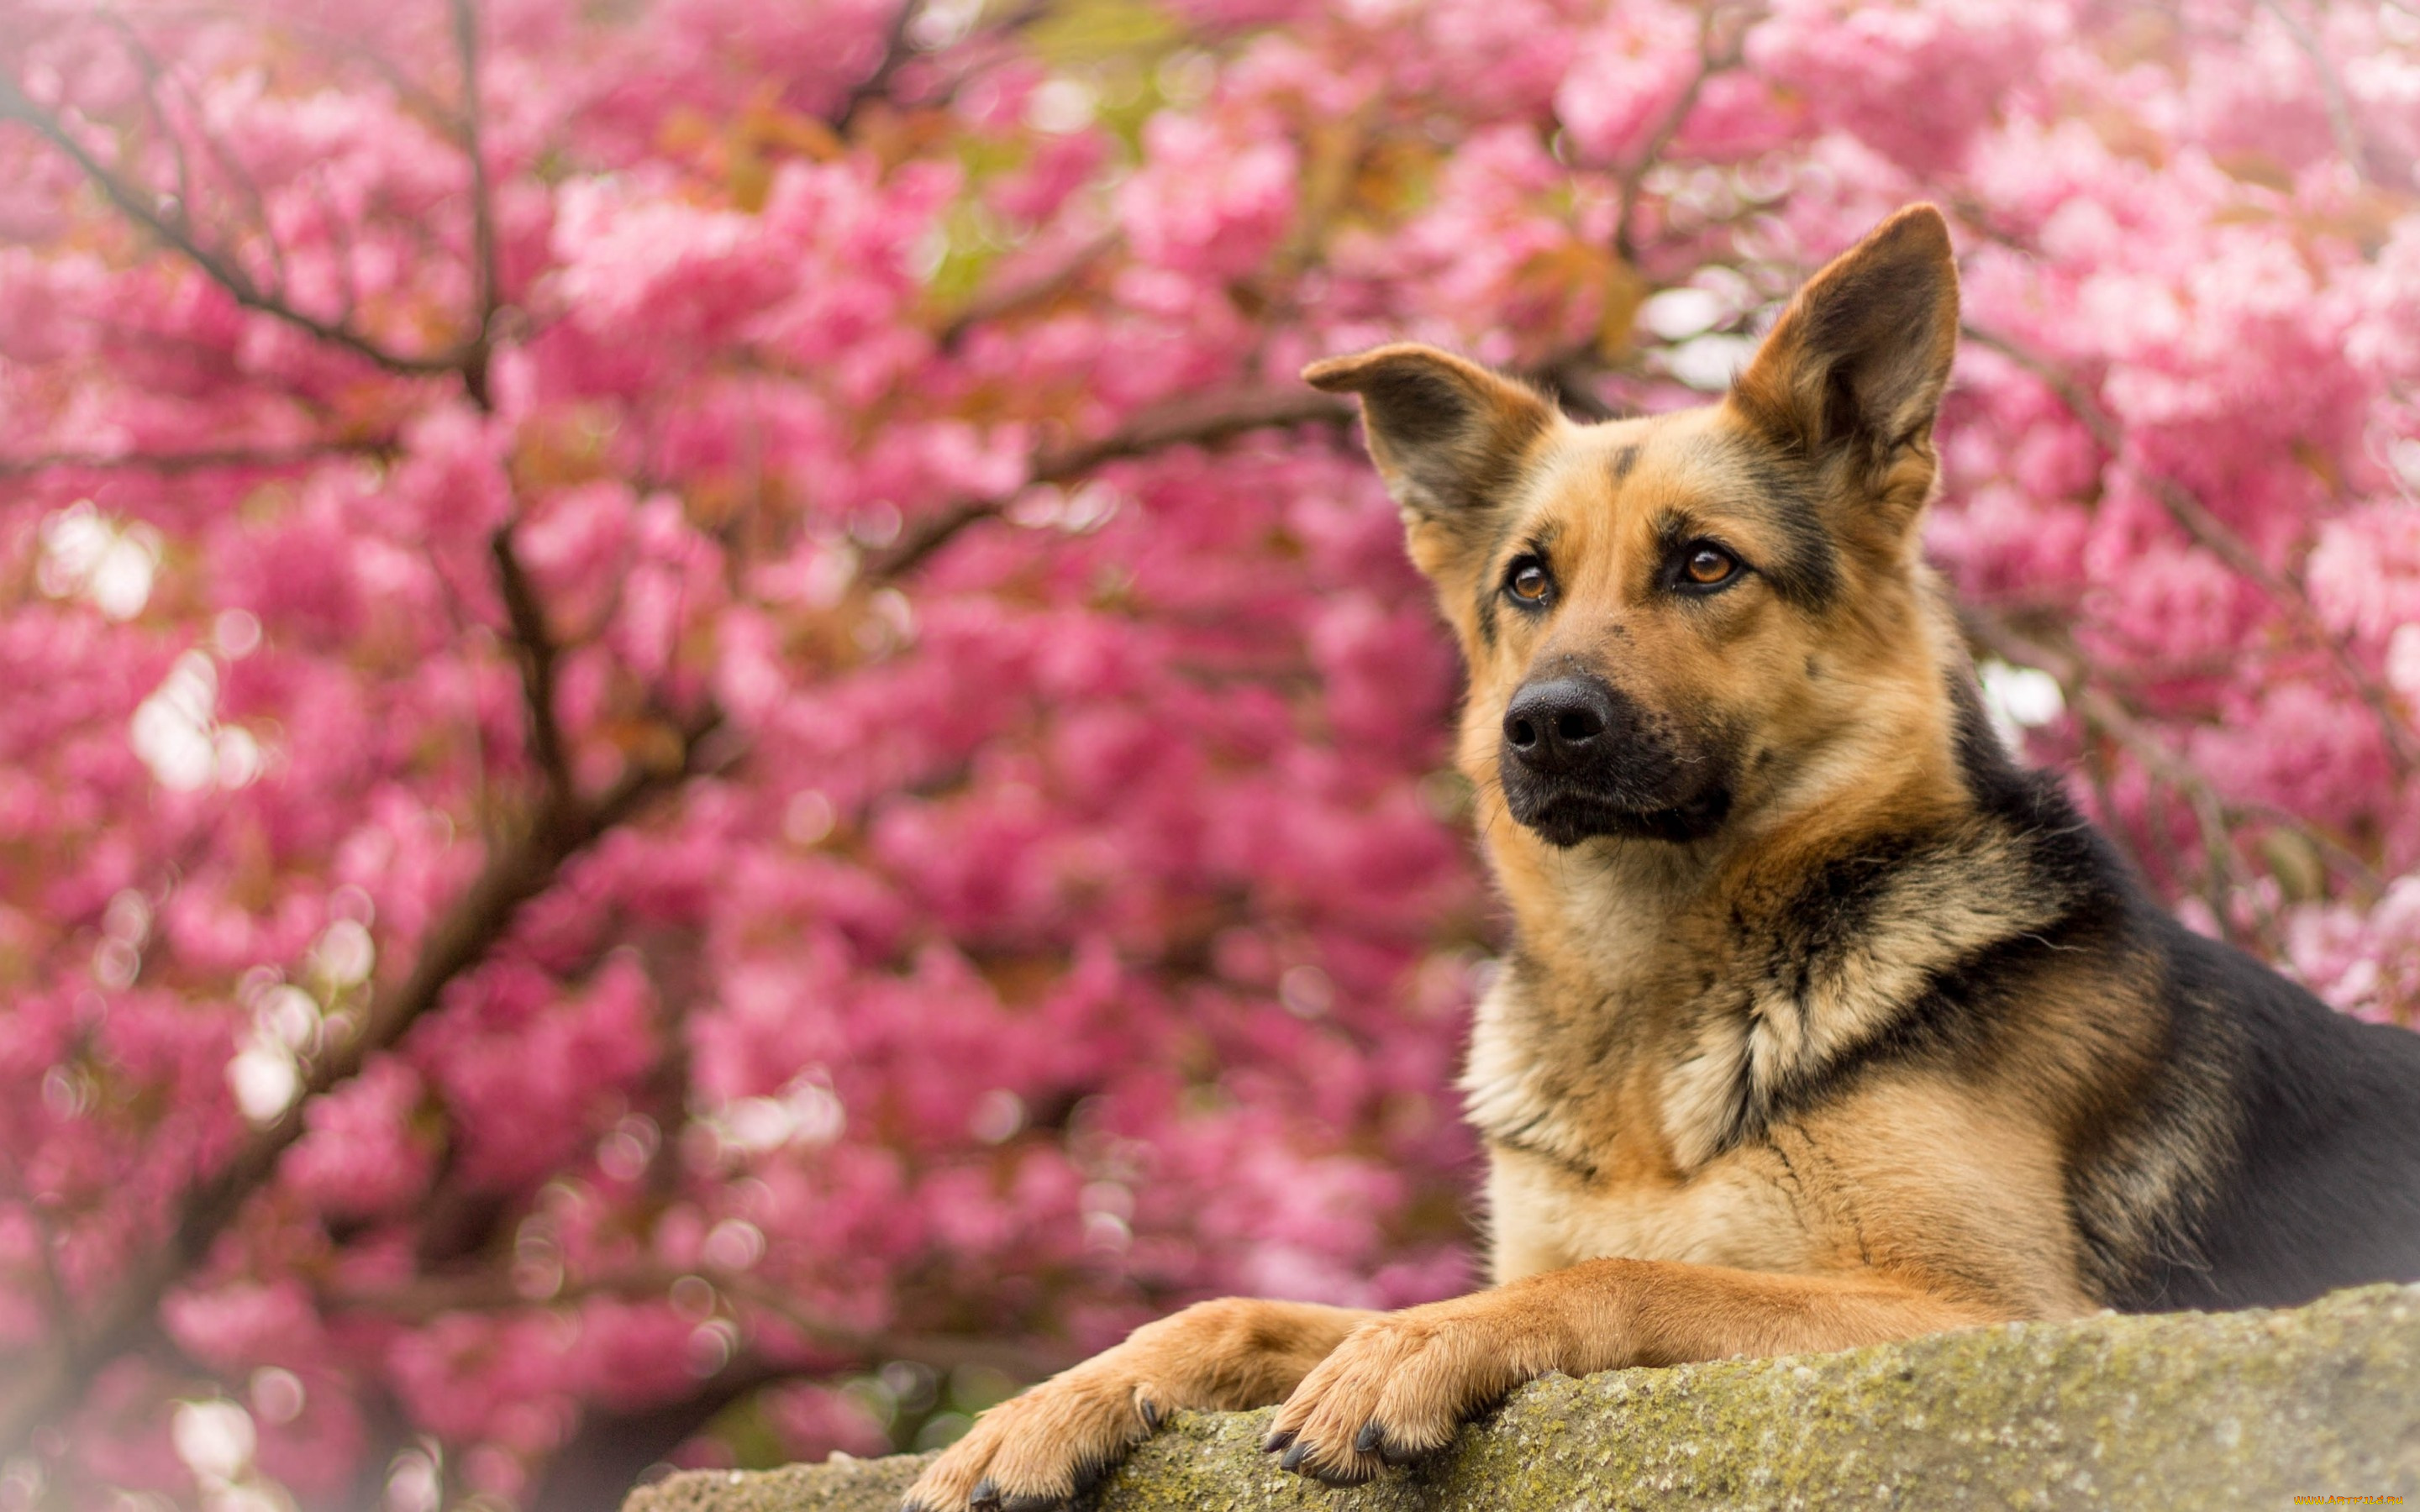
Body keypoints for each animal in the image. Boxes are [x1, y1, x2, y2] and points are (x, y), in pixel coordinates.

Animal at [905, 202, 2420, 1509]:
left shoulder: (1986, 1313)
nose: (1541, 727)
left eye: (1704, 565)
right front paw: (1049, 1404)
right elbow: (1246, 1309)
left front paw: (1413, 1350)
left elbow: (1620, 1282)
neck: (1657, 1007)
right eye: (1527, 581)